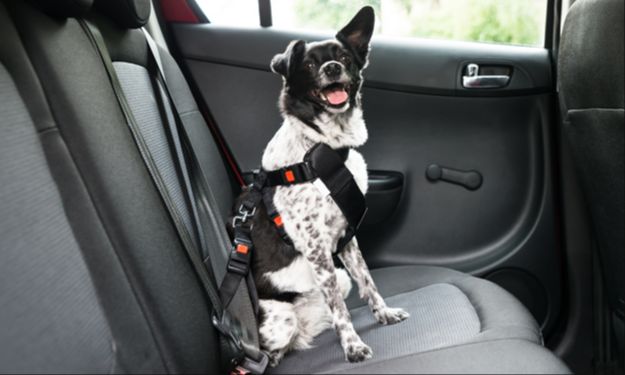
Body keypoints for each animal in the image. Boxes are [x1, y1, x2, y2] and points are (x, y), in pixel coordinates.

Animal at [239, 6, 410, 368]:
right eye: (308, 65)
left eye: (343, 57)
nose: (332, 68)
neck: (322, 147)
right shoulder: (316, 248)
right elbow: (341, 310)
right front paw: (353, 346)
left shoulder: (346, 238)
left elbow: (368, 281)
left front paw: (384, 314)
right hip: (282, 319)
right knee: (272, 349)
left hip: (337, 279)